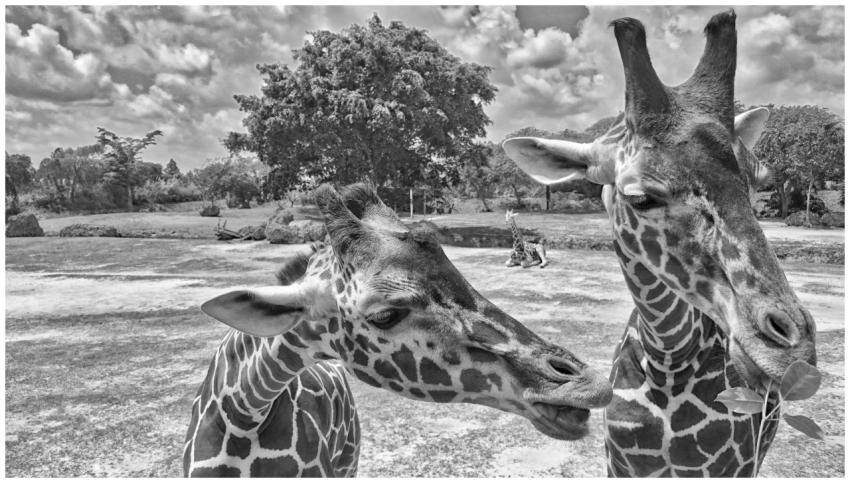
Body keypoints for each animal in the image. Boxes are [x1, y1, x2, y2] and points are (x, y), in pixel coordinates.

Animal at [501, 10, 817, 477]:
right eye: (640, 198)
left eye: (758, 182)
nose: (794, 351)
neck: (668, 358)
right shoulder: (621, 465)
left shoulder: (733, 467)